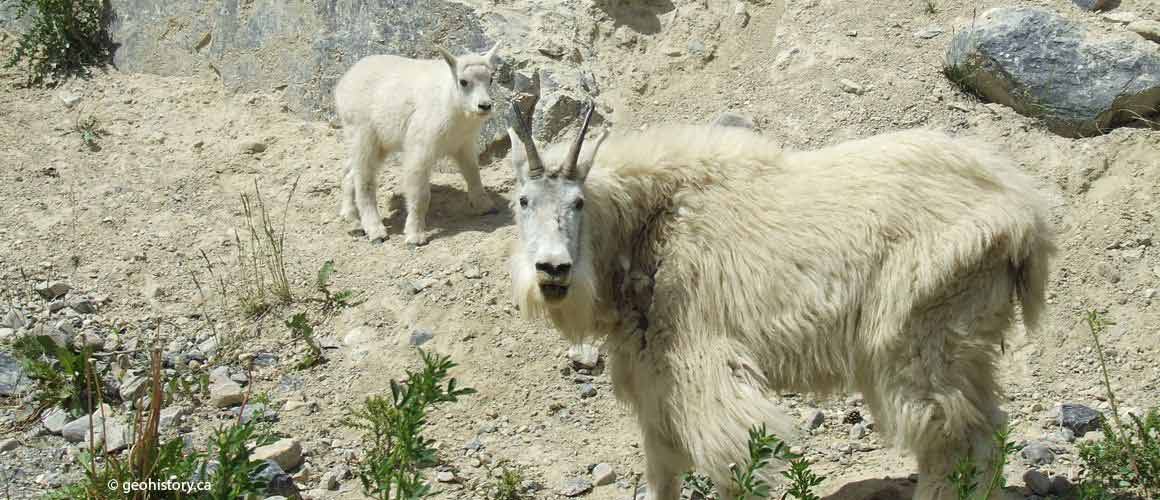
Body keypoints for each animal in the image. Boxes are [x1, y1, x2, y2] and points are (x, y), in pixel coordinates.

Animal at [505, 102, 1053, 500]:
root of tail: (1026, 214)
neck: (650, 224)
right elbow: (663, 471)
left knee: (950, 440)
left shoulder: (699, 357)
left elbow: (735, 465)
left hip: (920, 333)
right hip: (965, 340)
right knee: (987, 433)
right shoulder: (652, 374)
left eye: (578, 202)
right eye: (523, 200)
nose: (553, 270)